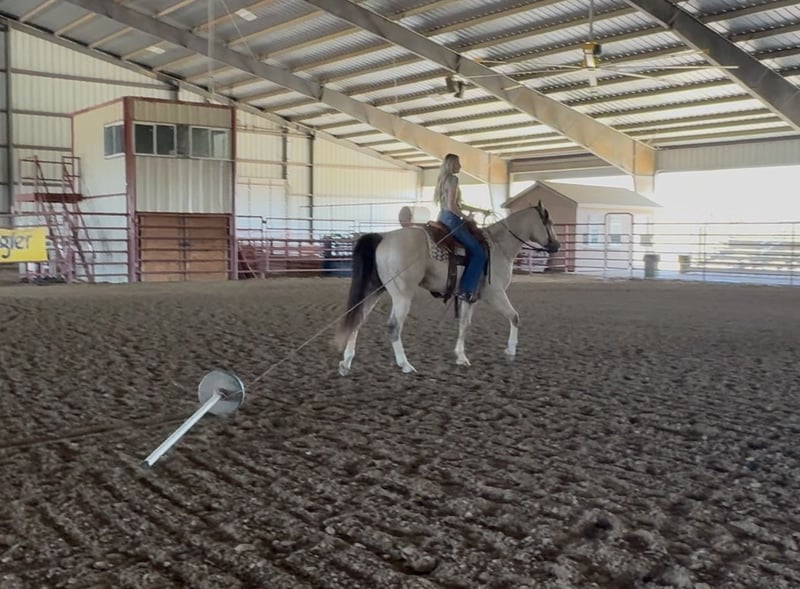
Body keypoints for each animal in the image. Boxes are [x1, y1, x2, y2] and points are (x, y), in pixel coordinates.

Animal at [333, 201, 560, 375]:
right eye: (548, 222)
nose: (556, 246)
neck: (499, 246)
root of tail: (385, 237)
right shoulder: (495, 293)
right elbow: (514, 317)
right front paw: (511, 352)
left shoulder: (469, 297)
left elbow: (464, 325)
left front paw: (461, 357)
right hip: (402, 294)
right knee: (393, 326)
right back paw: (405, 364)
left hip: (374, 289)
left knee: (357, 319)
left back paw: (346, 362)